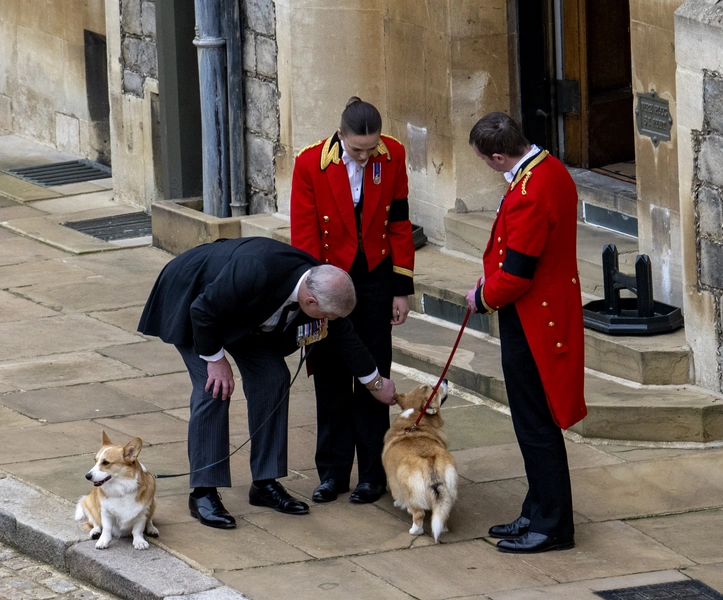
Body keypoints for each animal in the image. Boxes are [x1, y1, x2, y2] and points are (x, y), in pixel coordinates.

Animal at [384, 380, 458, 544]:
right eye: (434, 388)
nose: (446, 380)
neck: (414, 417)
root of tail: (430, 461)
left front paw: (397, 503)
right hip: (448, 491)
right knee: (443, 513)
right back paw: (443, 528)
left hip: (411, 490)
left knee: (418, 515)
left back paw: (414, 530)